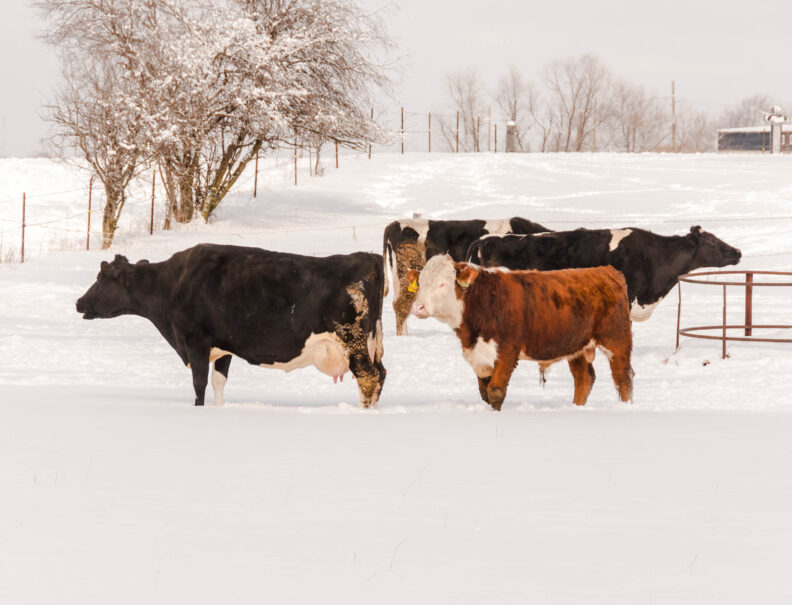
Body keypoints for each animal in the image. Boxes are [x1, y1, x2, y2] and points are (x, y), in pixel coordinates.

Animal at [75, 244, 386, 408]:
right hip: (372, 343)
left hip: (353, 342)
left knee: (368, 377)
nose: (79, 302)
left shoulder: (196, 341)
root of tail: (368, 256)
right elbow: (218, 382)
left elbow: (199, 382)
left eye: (101, 277)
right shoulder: (223, 346)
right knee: (380, 374)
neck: (172, 284)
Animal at [406, 256, 634, 410]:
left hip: (617, 341)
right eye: (421, 283)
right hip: (576, 346)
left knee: (623, 378)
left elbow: (496, 391)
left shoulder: (507, 351)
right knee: (584, 379)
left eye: (442, 283)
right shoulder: (479, 356)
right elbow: (484, 392)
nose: (418, 307)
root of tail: (607, 270)